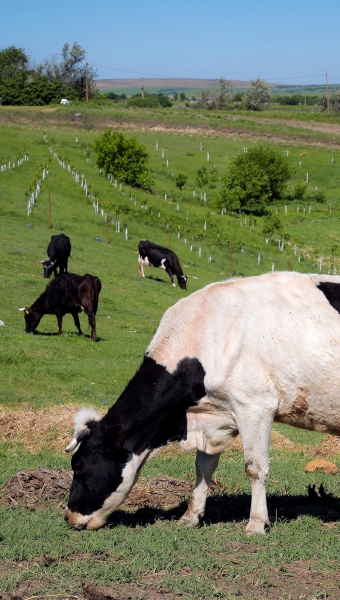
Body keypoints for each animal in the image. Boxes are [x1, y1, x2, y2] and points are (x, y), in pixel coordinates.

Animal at [64, 272, 340, 536]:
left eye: (79, 466)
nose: (69, 518)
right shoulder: (213, 417)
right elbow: (203, 468)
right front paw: (191, 516)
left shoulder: (255, 407)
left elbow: (254, 467)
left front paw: (256, 523)